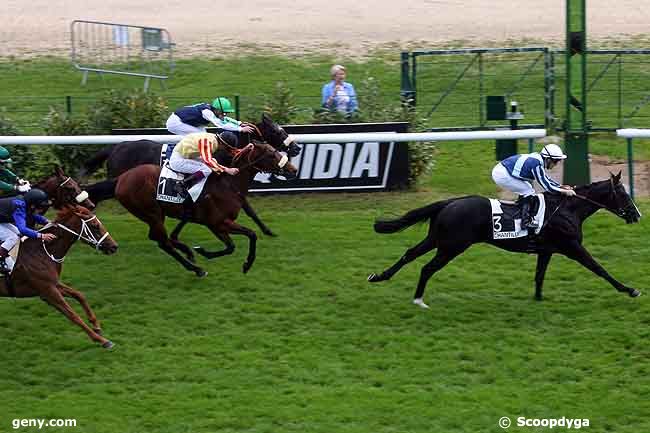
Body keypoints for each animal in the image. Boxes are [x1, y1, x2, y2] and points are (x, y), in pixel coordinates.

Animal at [0, 204, 117, 350]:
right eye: (95, 225)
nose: (114, 246)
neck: (42, 251)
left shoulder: (52, 285)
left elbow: (79, 295)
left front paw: (96, 326)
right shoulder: (48, 291)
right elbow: (73, 315)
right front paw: (102, 340)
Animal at [93, 142, 296, 276]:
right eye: (271, 154)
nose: (293, 169)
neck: (228, 184)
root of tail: (121, 179)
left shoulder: (219, 223)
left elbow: (242, 240)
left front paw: (244, 263)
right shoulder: (216, 223)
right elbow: (239, 242)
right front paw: (204, 252)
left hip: (153, 215)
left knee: (160, 238)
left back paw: (189, 253)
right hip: (152, 213)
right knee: (163, 242)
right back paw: (196, 268)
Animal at [368, 172, 640, 308]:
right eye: (623, 193)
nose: (636, 214)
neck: (567, 209)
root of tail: (450, 202)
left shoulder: (547, 250)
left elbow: (539, 275)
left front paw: (538, 299)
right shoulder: (572, 247)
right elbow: (599, 269)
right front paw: (630, 289)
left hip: (437, 239)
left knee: (409, 254)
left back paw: (379, 276)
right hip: (452, 246)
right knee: (427, 267)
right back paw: (418, 299)